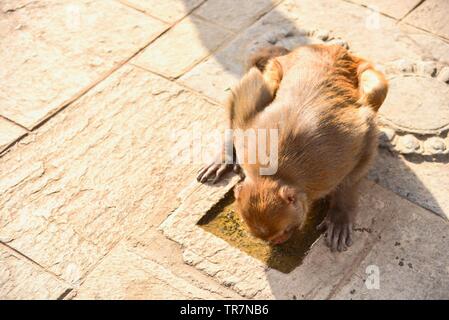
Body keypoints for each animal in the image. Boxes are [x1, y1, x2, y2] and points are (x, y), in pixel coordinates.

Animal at [198, 43, 386, 252]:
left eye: (284, 232)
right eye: (269, 238)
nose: (277, 243)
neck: (276, 175)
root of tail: (329, 47)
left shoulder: (334, 163)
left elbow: (366, 135)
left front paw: (340, 212)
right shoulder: (248, 134)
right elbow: (245, 102)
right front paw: (226, 153)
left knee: (376, 89)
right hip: (277, 64)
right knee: (262, 82)